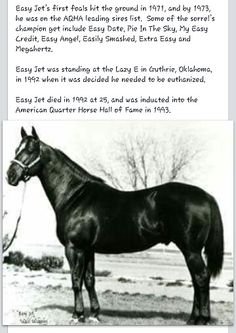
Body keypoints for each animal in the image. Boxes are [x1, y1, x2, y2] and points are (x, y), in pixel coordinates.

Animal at [6, 127, 224, 324]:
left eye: (30, 150)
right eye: (17, 148)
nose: (10, 175)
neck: (74, 195)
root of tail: (206, 196)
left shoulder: (74, 248)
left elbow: (76, 281)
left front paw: (77, 315)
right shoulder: (88, 249)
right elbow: (89, 280)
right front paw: (94, 314)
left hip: (191, 250)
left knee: (201, 277)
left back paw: (202, 319)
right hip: (190, 250)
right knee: (196, 280)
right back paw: (192, 319)